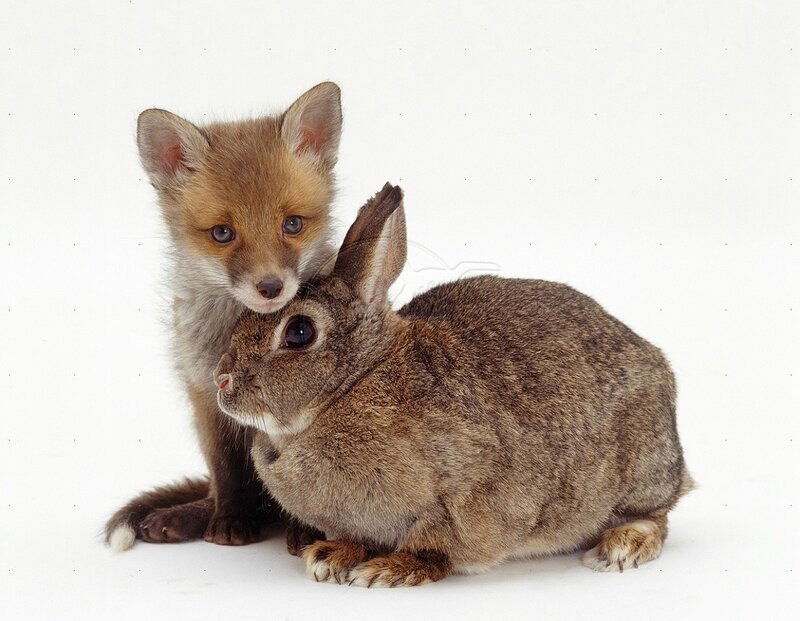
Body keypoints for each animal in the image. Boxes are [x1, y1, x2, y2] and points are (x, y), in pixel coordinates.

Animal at [105, 82, 342, 552]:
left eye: (292, 224)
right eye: (222, 233)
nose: (270, 287)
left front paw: (308, 530)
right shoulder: (205, 399)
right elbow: (227, 474)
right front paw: (229, 520)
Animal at [214, 182, 693, 587]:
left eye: (299, 333)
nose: (222, 380)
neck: (351, 385)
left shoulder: (472, 484)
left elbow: (436, 540)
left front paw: (389, 570)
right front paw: (330, 557)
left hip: (640, 469)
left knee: (658, 515)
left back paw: (620, 548)